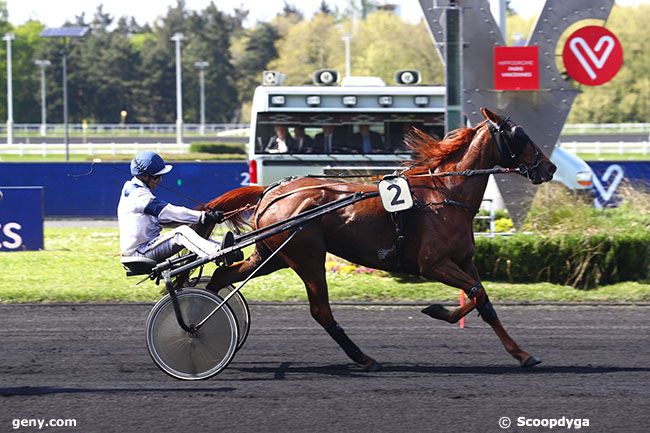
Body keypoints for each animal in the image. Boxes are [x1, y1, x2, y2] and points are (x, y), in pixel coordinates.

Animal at [201, 109, 552, 372]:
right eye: (519, 135)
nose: (549, 167)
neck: (446, 192)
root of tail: (271, 191)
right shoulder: (434, 263)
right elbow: (476, 293)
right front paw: (437, 310)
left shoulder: (465, 260)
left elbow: (485, 301)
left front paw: (522, 354)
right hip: (307, 257)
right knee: (321, 311)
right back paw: (364, 358)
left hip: (271, 256)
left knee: (222, 275)